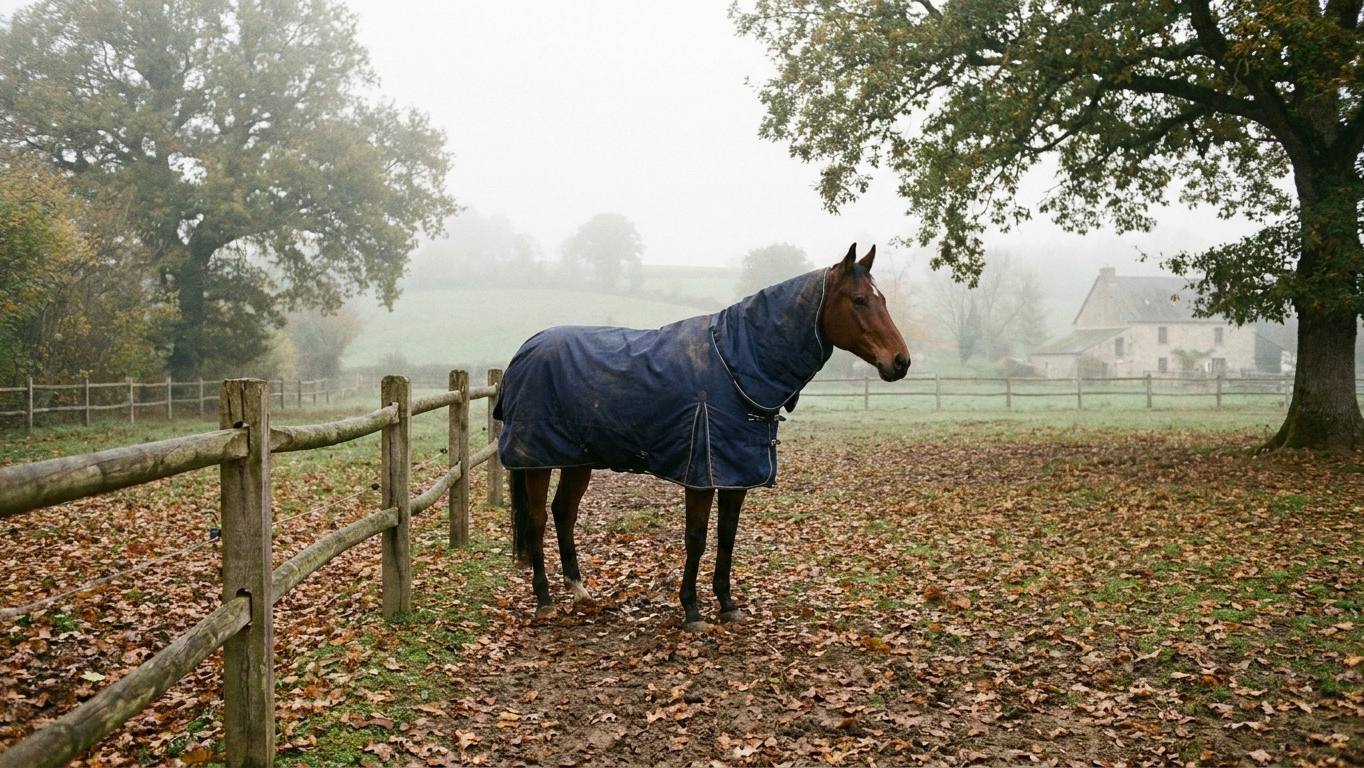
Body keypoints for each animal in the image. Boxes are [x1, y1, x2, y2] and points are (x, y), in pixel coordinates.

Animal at [492, 244, 910, 631]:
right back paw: (544, 601)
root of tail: (525, 350)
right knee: (537, 519)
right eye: (859, 300)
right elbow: (697, 537)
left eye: (882, 299)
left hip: (578, 458)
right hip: (537, 459)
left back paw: (579, 591)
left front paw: (727, 605)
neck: (735, 364)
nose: (901, 361)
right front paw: (692, 610)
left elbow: (727, 536)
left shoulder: (736, 474)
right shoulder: (701, 473)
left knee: (564, 512)